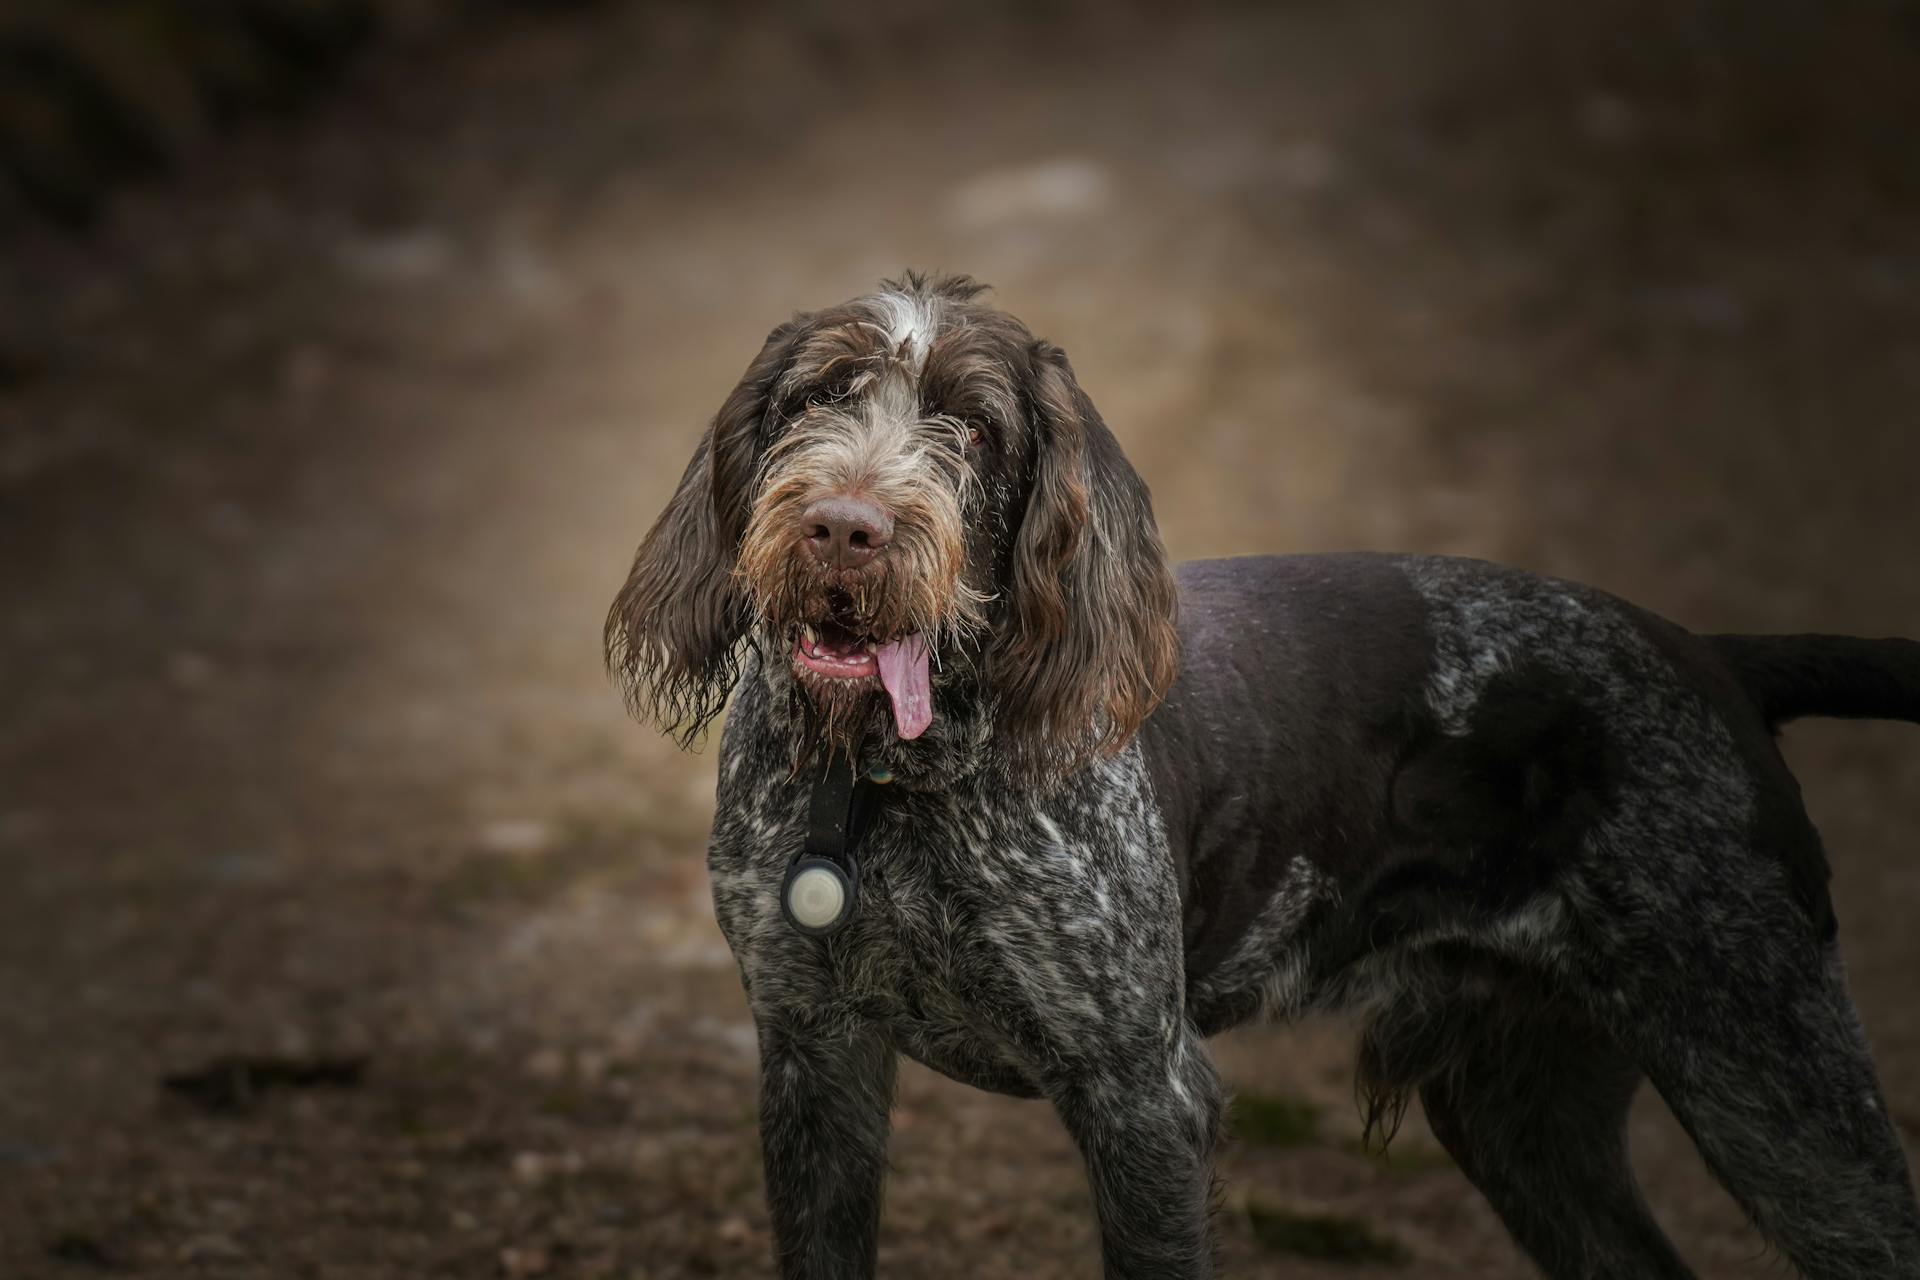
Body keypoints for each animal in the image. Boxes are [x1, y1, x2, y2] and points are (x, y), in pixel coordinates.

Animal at [602, 276, 1920, 1274]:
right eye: (819, 397)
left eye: (972, 427)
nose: (843, 527)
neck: (880, 780)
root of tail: (1714, 654)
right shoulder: (812, 1057)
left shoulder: (1144, 1097)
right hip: (1522, 1107)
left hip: (1770, 1069)